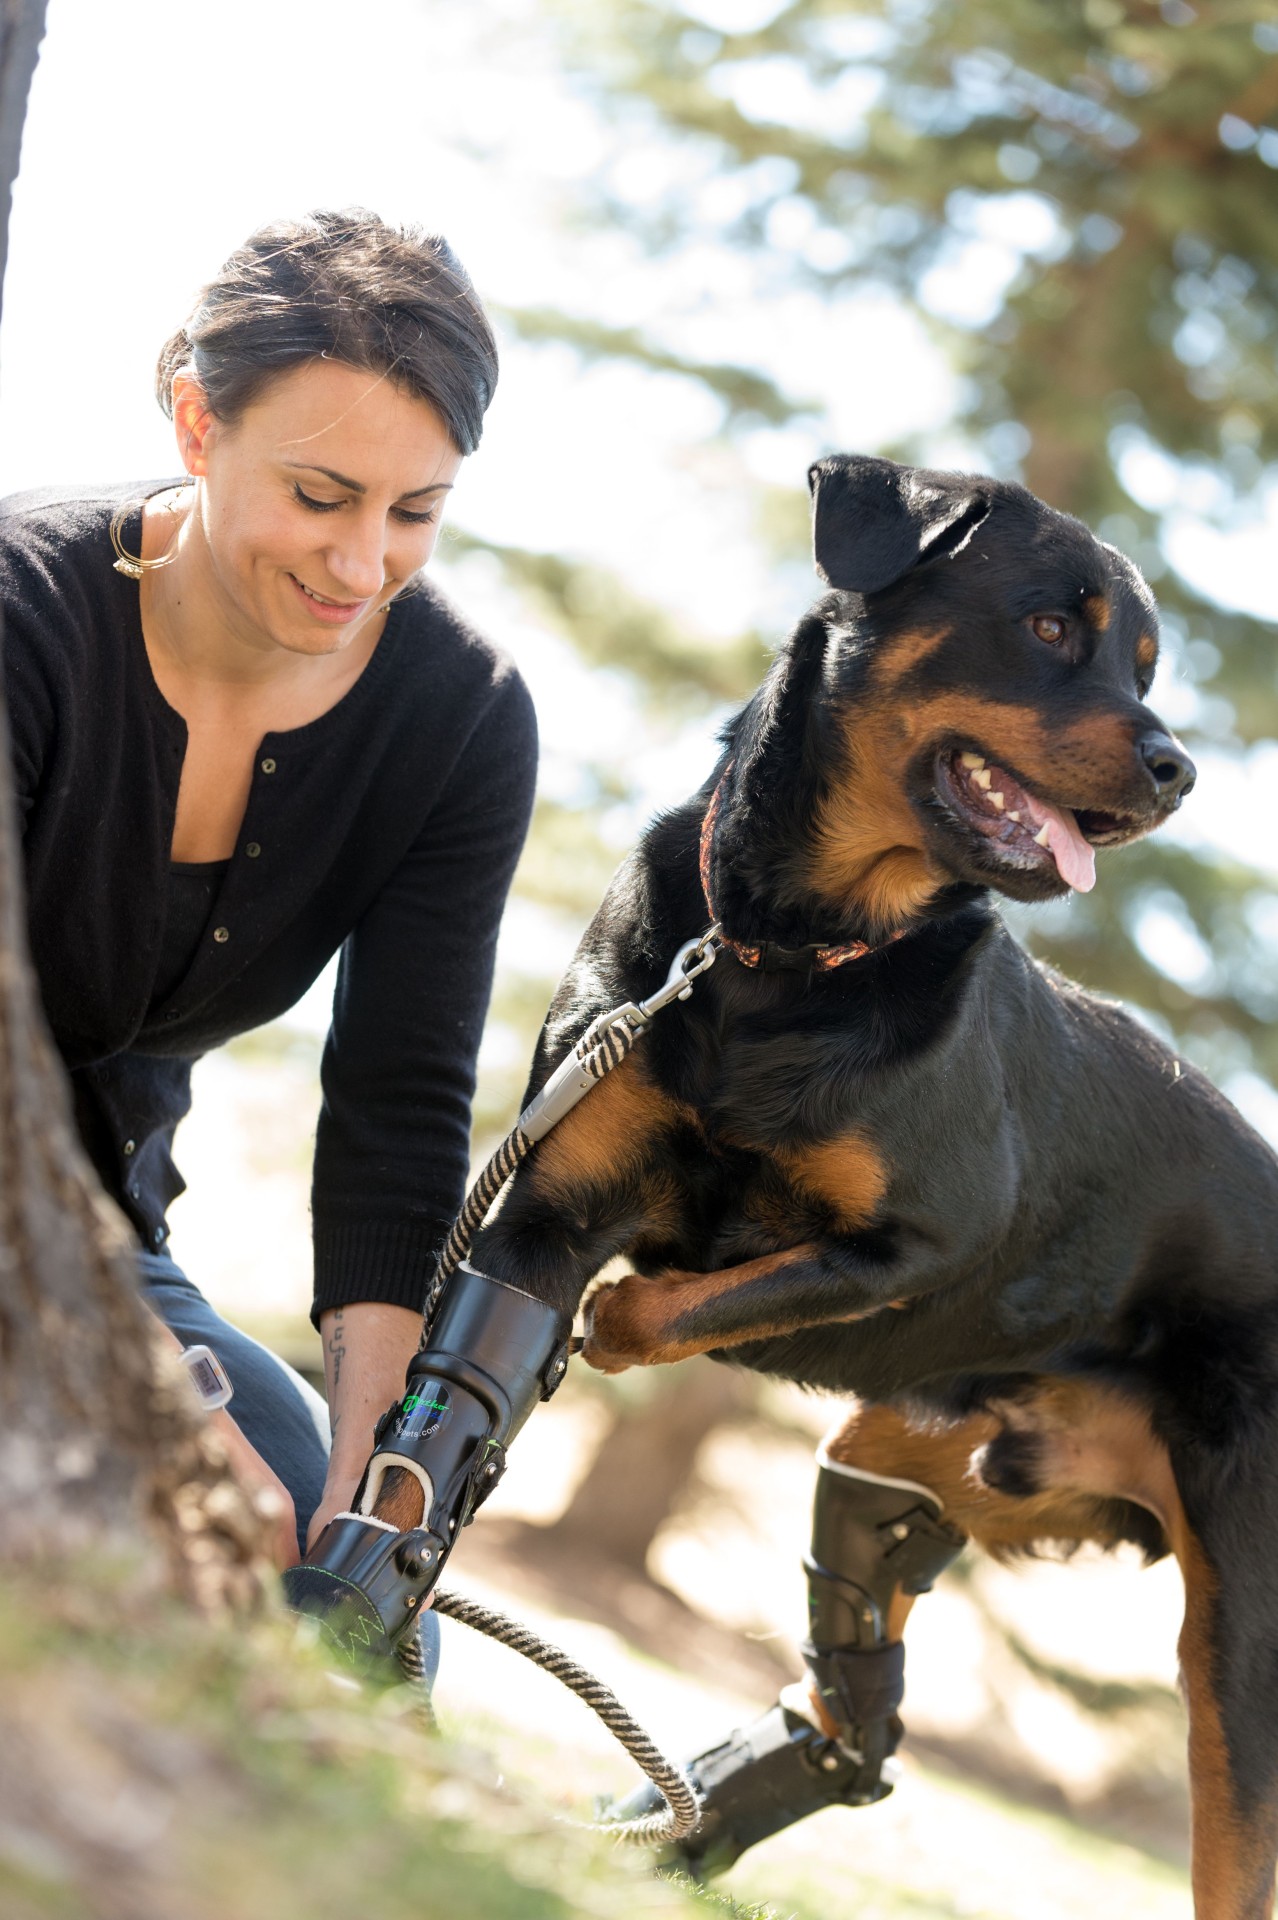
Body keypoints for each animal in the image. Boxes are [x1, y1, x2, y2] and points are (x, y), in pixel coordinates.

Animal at [454, 453, 1266, 1920]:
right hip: (931, 1447)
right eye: (1051, 626)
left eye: (1147, 665)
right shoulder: (544, 1205)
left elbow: (670, 1303)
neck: (786, 955)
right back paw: (693, 1822)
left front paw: (624, 1316)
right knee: (863, 1635)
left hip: (1237, 1635)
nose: (1177, 768)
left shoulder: (918, 1248)